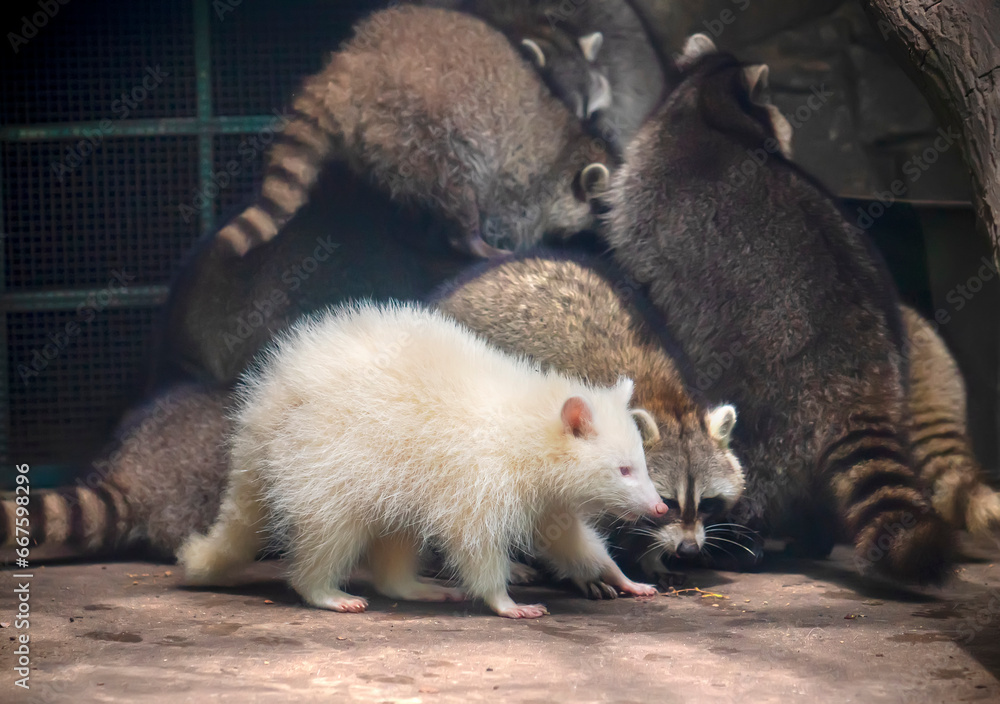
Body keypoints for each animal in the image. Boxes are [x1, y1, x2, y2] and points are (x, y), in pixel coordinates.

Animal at [215, 5, 610, 260]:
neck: (576, 149)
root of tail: (353, 69)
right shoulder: (524, 187)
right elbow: (514, 218)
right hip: (424, 128)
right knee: (457, 184)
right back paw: (468, 238)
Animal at [600, 37, 953, 583]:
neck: (709, 107)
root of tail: (862, 373)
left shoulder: (643, 201)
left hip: (769, 401)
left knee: (751, 467)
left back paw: (738, 541)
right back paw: (815, 535)